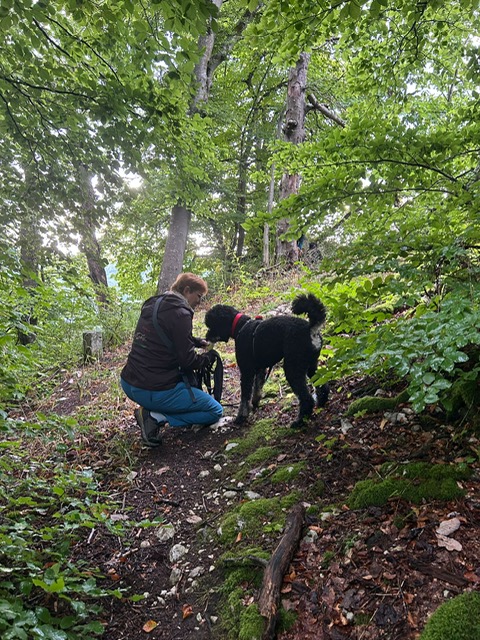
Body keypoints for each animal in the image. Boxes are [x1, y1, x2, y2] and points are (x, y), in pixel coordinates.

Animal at [204, 293, 329, 428]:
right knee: (322, 385)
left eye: (211, 325)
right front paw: (255, 402)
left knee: (306, 398)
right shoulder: (260, 368)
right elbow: (257, 388)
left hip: (293, 368)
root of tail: (311, 329)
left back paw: (299, 420)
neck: (240, 326)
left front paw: (241, 416)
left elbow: (245, 397)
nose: (206, 337)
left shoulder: (247, 371)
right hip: (311, 365)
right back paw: (321, 402)